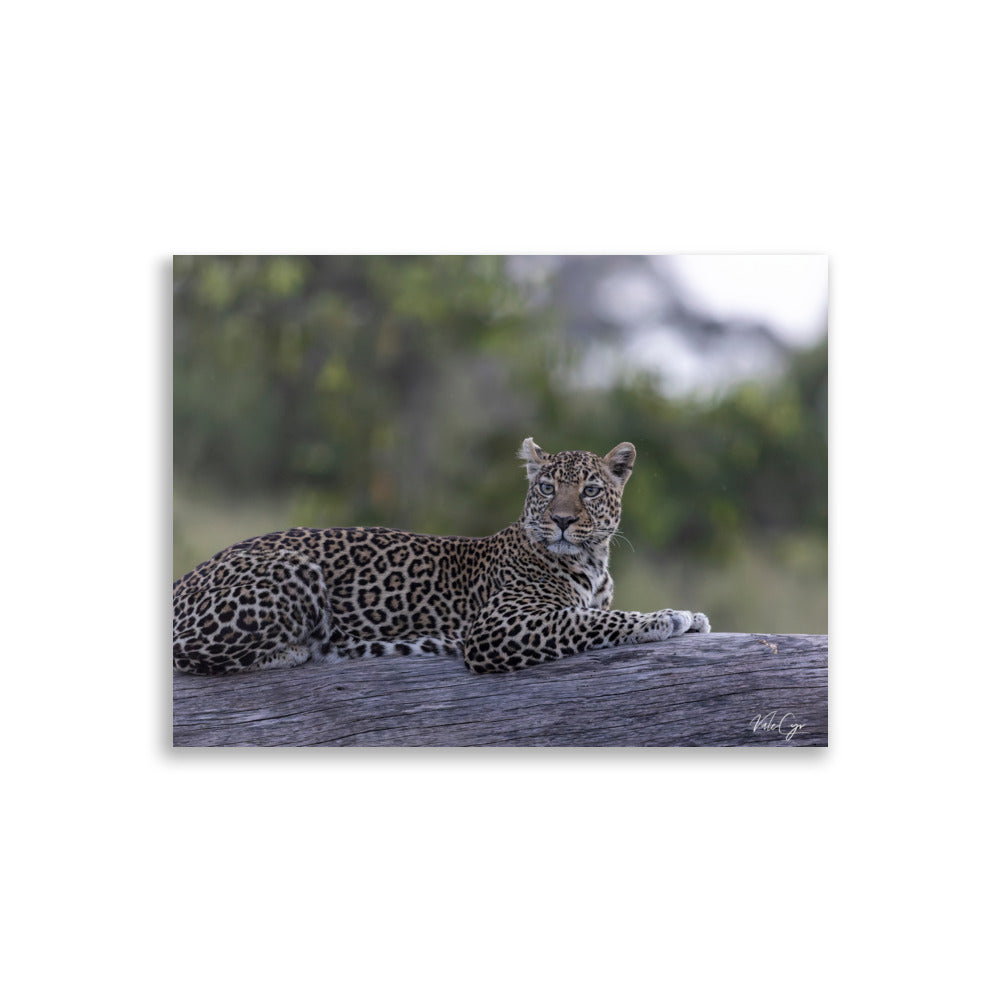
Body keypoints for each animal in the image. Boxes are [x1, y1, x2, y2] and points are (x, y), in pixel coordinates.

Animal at [176, 436, 716, 676]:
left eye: (590, 490)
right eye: (546, 488)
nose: (562, 520)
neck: (593, 562)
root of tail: (182, 579)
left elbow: (595, 615)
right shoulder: (499, 625)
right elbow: (591, 622)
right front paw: (669, 617)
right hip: (294, 569)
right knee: (191, 655)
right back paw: (303, 648)